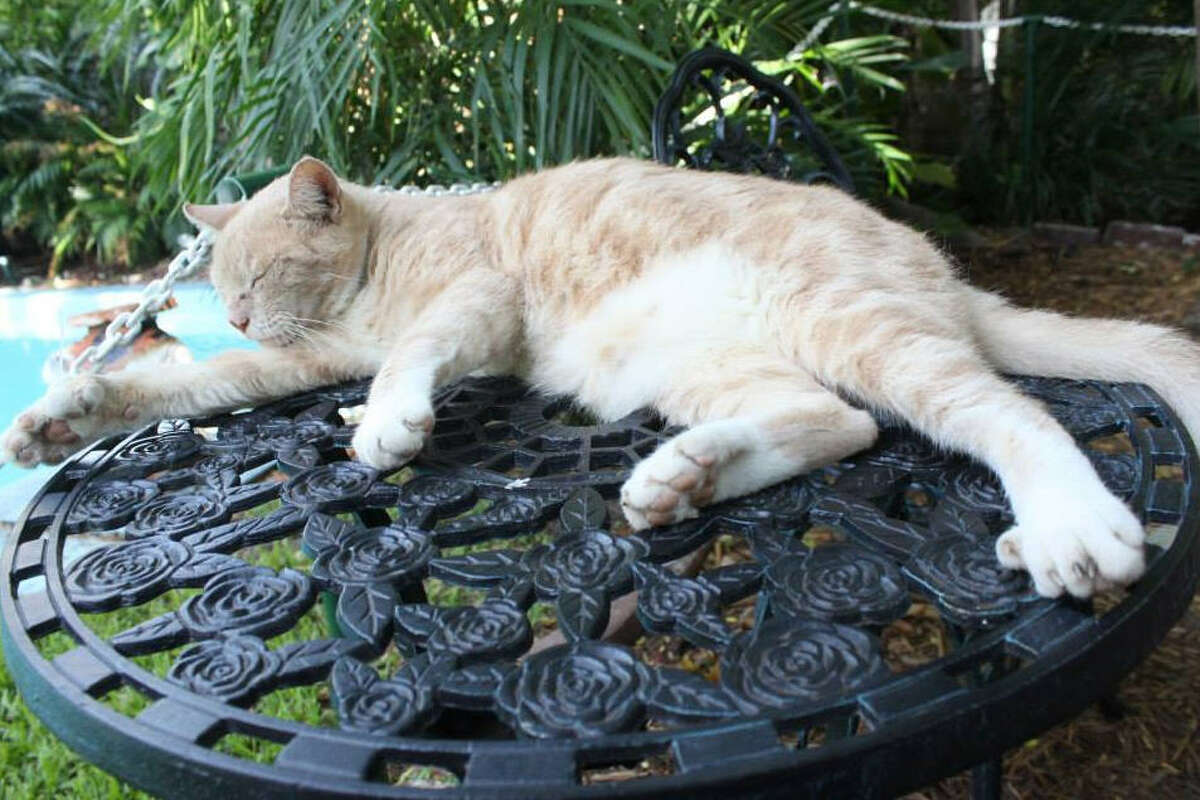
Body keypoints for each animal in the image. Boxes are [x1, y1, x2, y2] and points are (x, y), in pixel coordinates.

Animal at [4, 154, 1195, 599]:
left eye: (257, 275)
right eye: (224, 291)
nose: (245, 309)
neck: (382, 258)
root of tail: (944, 270)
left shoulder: (474, 302)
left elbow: (412, 358)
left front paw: (389, 424)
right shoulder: (305, 356)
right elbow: (188, 389)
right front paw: (63, 414)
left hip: (855, 323)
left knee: (1003, 411)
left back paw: (1068, 523)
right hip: (698, 364)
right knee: (836, 423)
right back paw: (687, 477)